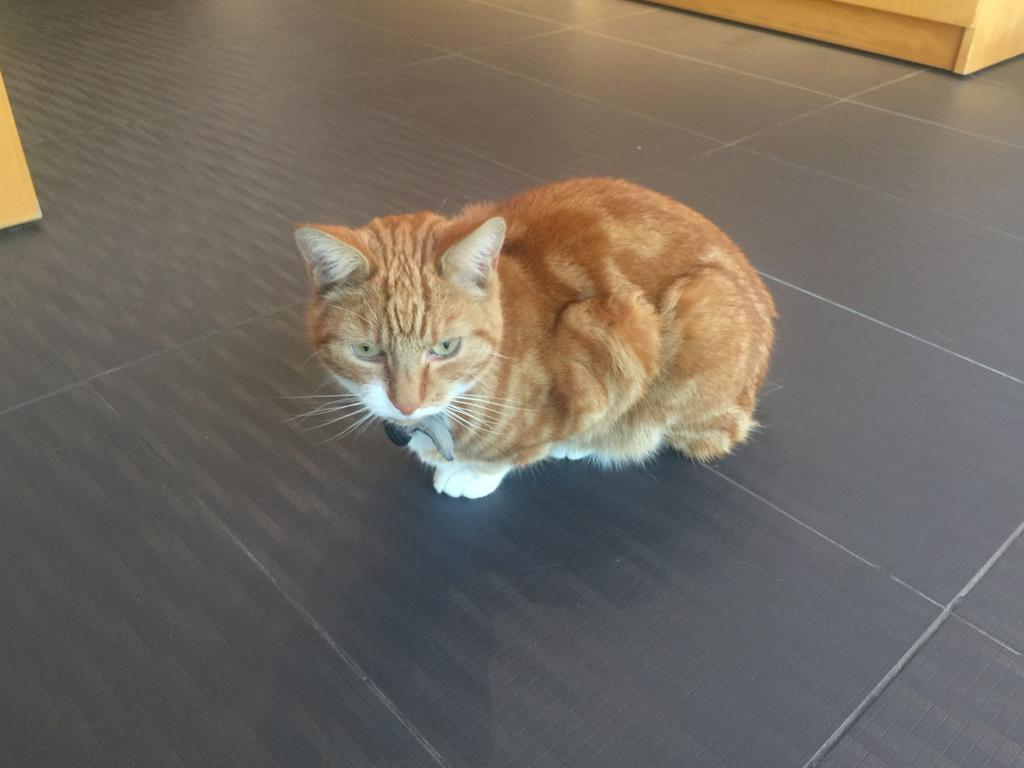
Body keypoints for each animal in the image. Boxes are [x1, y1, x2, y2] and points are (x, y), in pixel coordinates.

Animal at [295, 178, 775, 499]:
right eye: (366, 350)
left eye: (446, 347)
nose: (406, 405)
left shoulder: (603, 342)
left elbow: (526, 445)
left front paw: (476, 473)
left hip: (698, 309)